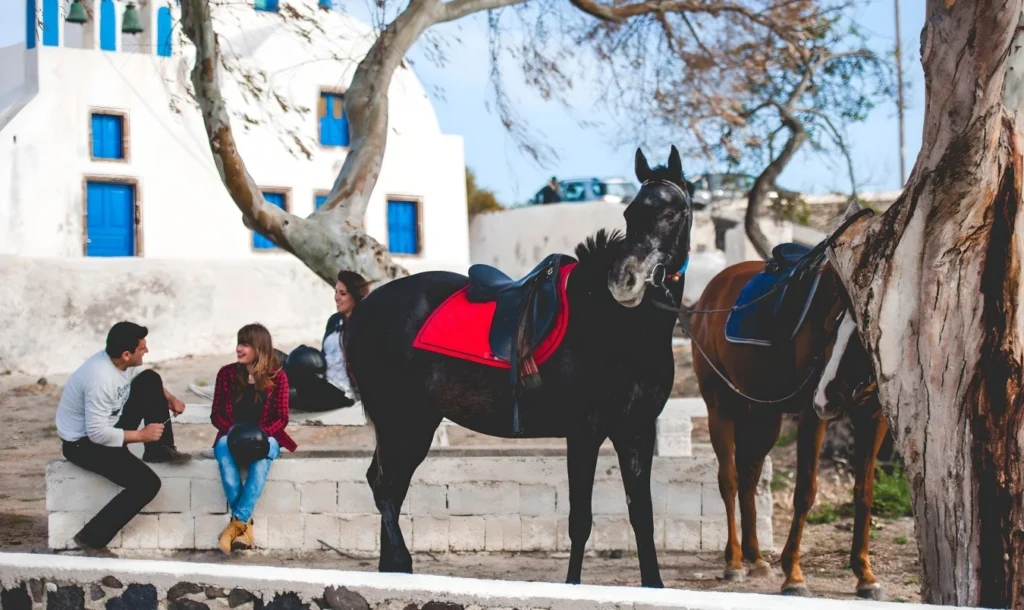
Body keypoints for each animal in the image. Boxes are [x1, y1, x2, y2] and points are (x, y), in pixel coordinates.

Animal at [345, 146, 695, 588]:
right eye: (630, 214)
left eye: (673, 211)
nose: (624, 281)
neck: (617, 327)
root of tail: (363, 309)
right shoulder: (585, 433)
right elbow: (581, 521)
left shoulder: (636, 432)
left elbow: (642, 517)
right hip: (402, 421)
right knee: (383, 486)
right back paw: (402, 564)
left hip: (413, 424)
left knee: (390, 484)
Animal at [686, 209, 888, 600]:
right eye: (832, 328)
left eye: (865, 337)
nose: (828, 395)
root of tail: (709, 294)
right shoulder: (812, 415)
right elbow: (805, 491)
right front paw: (794, 575)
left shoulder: (874, 419)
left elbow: (865, 492)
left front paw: (865, 574)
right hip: (721, 406)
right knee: (729, 478)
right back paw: (735, 561)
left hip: (764, 415)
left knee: (749, 474)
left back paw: (755, 557)